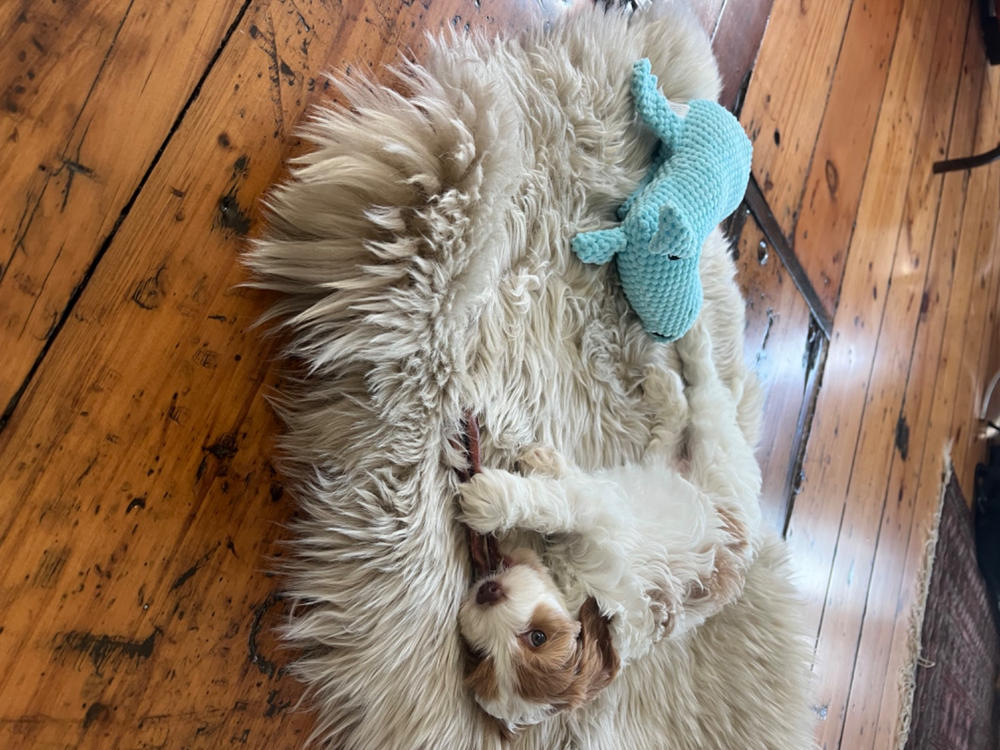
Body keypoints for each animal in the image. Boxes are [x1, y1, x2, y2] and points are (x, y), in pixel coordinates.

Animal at [458, 320, 760, 732]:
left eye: (537, 637)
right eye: (480, 653)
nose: (487, 592)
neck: (586, 594)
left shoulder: (601, 516)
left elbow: (557, 503)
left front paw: (490, 499)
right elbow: (567, 493)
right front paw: (544, 466)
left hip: (719, 449)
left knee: (706, 386)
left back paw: (692, 340)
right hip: (670, 465)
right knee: (673, 427)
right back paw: (663, 388)